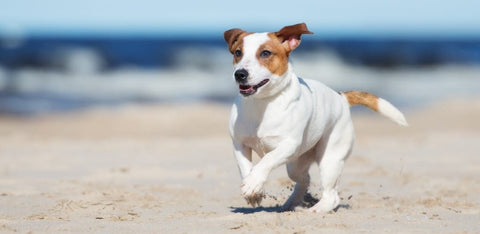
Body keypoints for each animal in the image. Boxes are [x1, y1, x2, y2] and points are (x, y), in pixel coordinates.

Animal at [223, 23, 406, 212]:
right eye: (238, 53)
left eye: (265, 53)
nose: (240, 74)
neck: (262, 103)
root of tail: (341, 97)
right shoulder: (240, 144)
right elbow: (245, 167)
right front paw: (253, 190)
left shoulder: (289, 145)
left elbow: (267, 159)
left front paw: (253, 183)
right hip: (295, 165)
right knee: (304, 180)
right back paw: (290, 204)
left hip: (330, 159)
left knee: (332, 195)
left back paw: (315, 210)